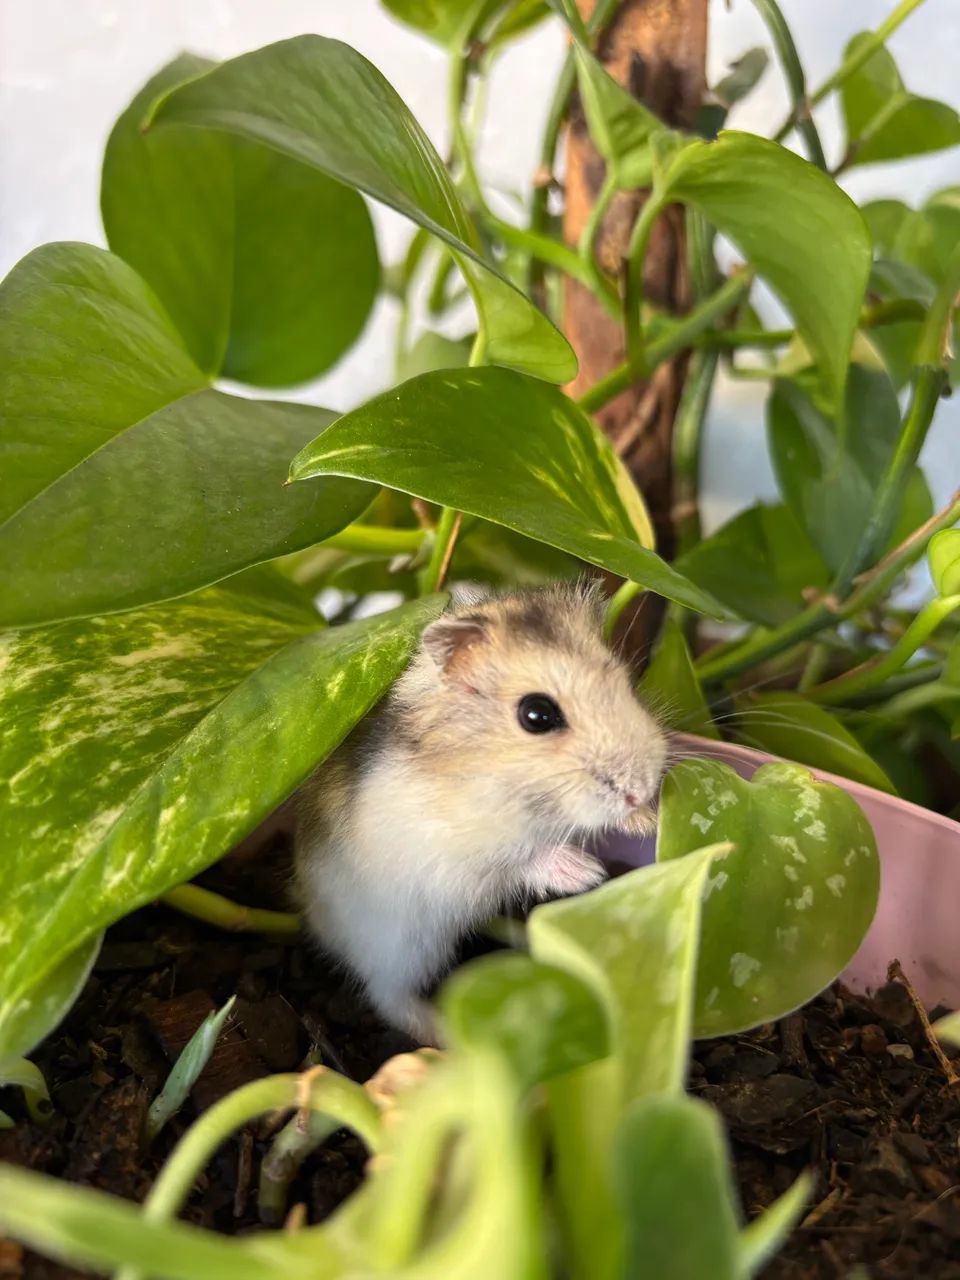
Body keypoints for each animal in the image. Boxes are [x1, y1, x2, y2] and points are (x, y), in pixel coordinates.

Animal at [294, 582, 667, 1044]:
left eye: (624, 681)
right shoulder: (453, 853)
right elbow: (520, 859)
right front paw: (587, 873)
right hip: (400, 943)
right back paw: (445, 1037)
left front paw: (647, 820)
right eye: (537, 715)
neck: (490, 776)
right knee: (389, 999)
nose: (641, 789)